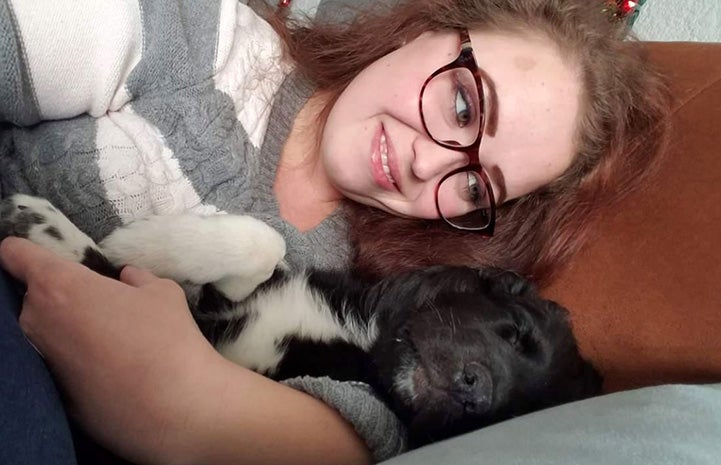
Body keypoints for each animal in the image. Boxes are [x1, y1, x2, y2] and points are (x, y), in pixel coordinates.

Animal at [0, 193, 600, 446]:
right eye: (515, 329)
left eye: (507, 415)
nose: (478, 394)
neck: (356, 339)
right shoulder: (234, 298)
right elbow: (264, 242)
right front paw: (143, 244)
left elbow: (109, 271)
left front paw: (63, 236)